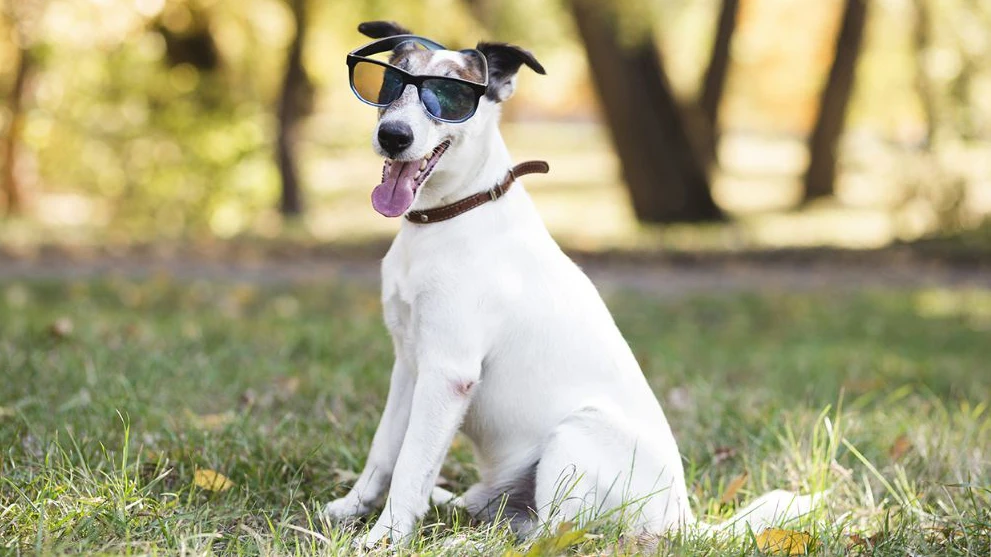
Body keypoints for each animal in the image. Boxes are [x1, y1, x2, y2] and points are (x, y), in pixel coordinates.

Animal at [322, 22, 816, 548]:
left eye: (451, 96)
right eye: (390, 83)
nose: (393, 136)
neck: (452, 213)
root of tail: (682, 521)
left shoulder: (447, 371)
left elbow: (410, 464)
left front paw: (383, 538)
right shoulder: (409, 363)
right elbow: (386, 452)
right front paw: (354, 507)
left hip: (575, 434)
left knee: (554, 533)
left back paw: (465, 542)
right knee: (511, 517)